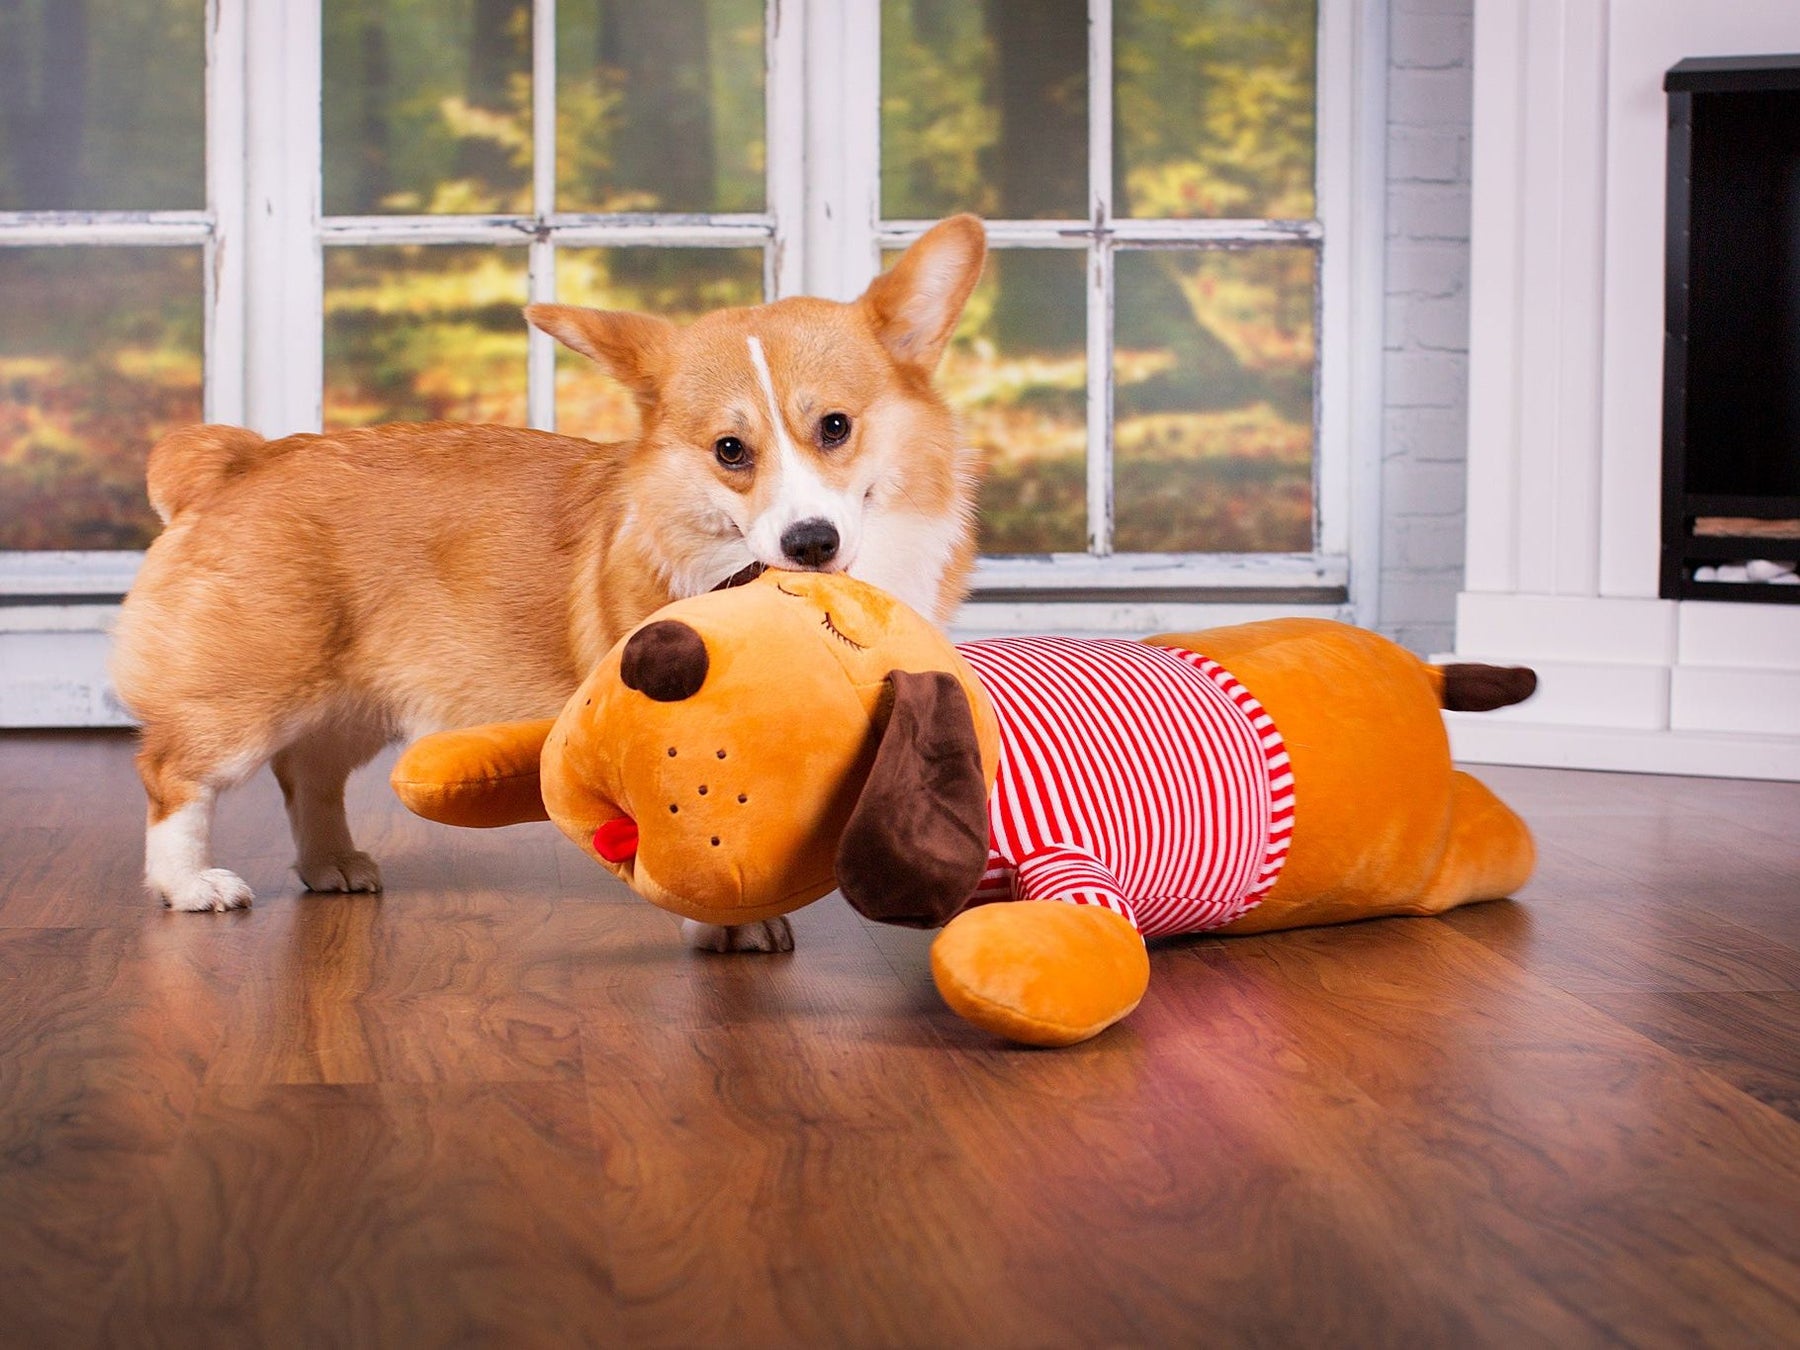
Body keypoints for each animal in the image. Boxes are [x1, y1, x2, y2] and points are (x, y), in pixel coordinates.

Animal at [116, 216, 986, 928]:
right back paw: (191, 885)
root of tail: (236, 460)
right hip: (243, 701)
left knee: (309, 773)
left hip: (351, 705)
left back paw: (331, 865)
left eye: (835, 426)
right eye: (729, 450)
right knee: (173, 776)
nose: (810, 542)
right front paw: (733, 931)